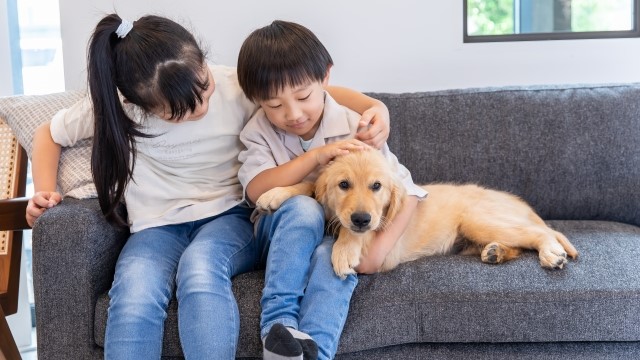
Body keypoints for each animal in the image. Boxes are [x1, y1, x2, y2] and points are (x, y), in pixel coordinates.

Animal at [256, 149, 580, 278]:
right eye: (343, 184)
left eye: (377, 186)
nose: (362, 218)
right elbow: (311, 184)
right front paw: (274, 194)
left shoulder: (385, 246)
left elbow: (356, 232)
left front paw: (344, 250)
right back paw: (495, 252)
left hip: (478, 219)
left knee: (541, 233)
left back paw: (551, 254)